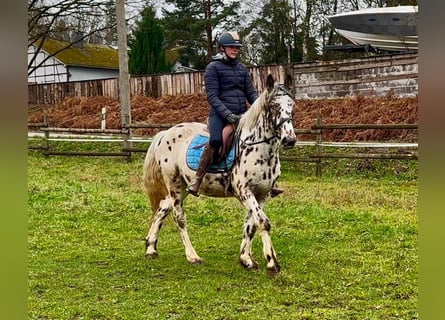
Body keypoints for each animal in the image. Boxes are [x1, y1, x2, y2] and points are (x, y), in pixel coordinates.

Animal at [142, 74, 294, 276]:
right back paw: (192, 256)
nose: (290, 140)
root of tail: (165, 133)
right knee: (178, 217)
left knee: (162, 209)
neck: (259, 148)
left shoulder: (262, 194)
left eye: (292, 105)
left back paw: (151, 247)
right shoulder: (244, 191)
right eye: (275, 106)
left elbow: (251, 225)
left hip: (184, 187)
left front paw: (246, 259)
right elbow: (263, 222)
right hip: (174, 184)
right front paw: (272, 263)